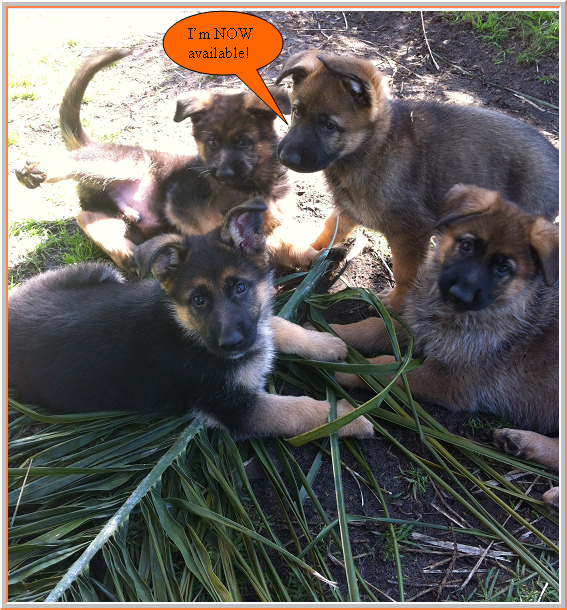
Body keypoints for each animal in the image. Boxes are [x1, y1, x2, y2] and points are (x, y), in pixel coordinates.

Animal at [8, 200, 374, 436]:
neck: (187, 331)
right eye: (198, 300)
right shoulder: (235, 407)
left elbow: (278, 325)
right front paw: (347, 416)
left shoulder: (254, 326)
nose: (231, 344)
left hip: (98, 273)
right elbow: (301, 410)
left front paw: (325, 342)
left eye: (240, 287)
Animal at [276, 50, 560, 312]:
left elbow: (406, 274)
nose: (284, 157)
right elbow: (329, 230)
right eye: (297, 111)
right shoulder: (351, 209)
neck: (373, 146)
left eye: (329, 126)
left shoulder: (410, 234)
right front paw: (309, 253)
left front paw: (396, 304)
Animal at [328, 185, 560, 508]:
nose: (459, 294)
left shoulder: (449, 382)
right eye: (467, 246)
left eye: (503, 269)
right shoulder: (416, 329)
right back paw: (519, 442)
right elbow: (370, 329)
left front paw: (347, 367)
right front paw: (324, 332)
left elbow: (388, 369)